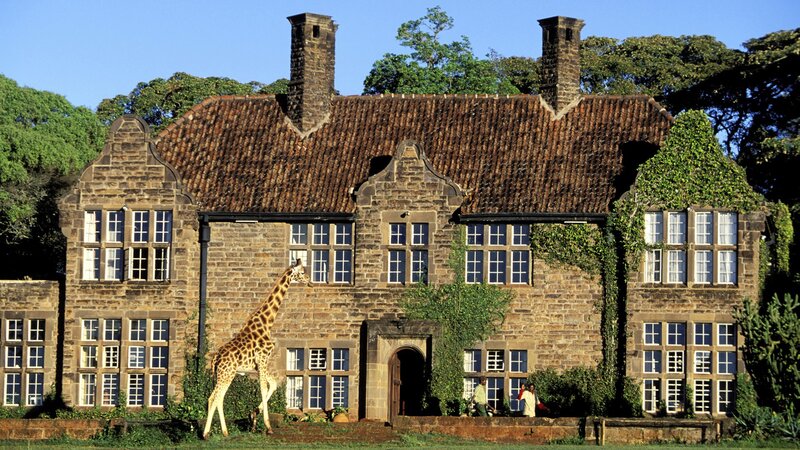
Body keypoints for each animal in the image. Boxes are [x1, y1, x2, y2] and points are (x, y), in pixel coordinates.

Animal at [203, 259, 309, 439]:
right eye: (301, 272)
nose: (309, 280)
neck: (267, 323)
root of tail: (215, 359)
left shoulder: (258, 366)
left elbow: (272, 385)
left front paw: (253, 417)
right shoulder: (263, 360)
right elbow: (264, 388)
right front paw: (268, 426)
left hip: (224, 374)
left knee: (215, 397)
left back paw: (223, 432)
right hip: (227, 373)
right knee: (215, 398)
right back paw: (207, 433)